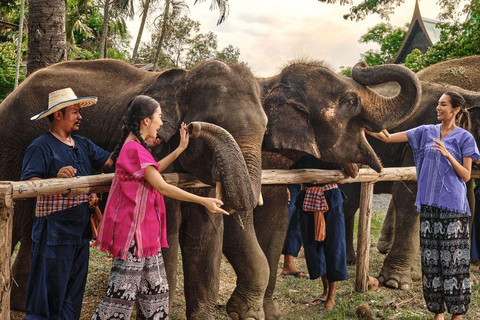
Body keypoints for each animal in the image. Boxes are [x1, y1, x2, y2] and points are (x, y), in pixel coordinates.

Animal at [0, 57, 270, 318]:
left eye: (265, 128)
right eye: (214, 121)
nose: (193, 127)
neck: (186, 77)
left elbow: (206, 233)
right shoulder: (158, 150)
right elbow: (167, 228)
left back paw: (24, 306)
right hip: (12, 149)